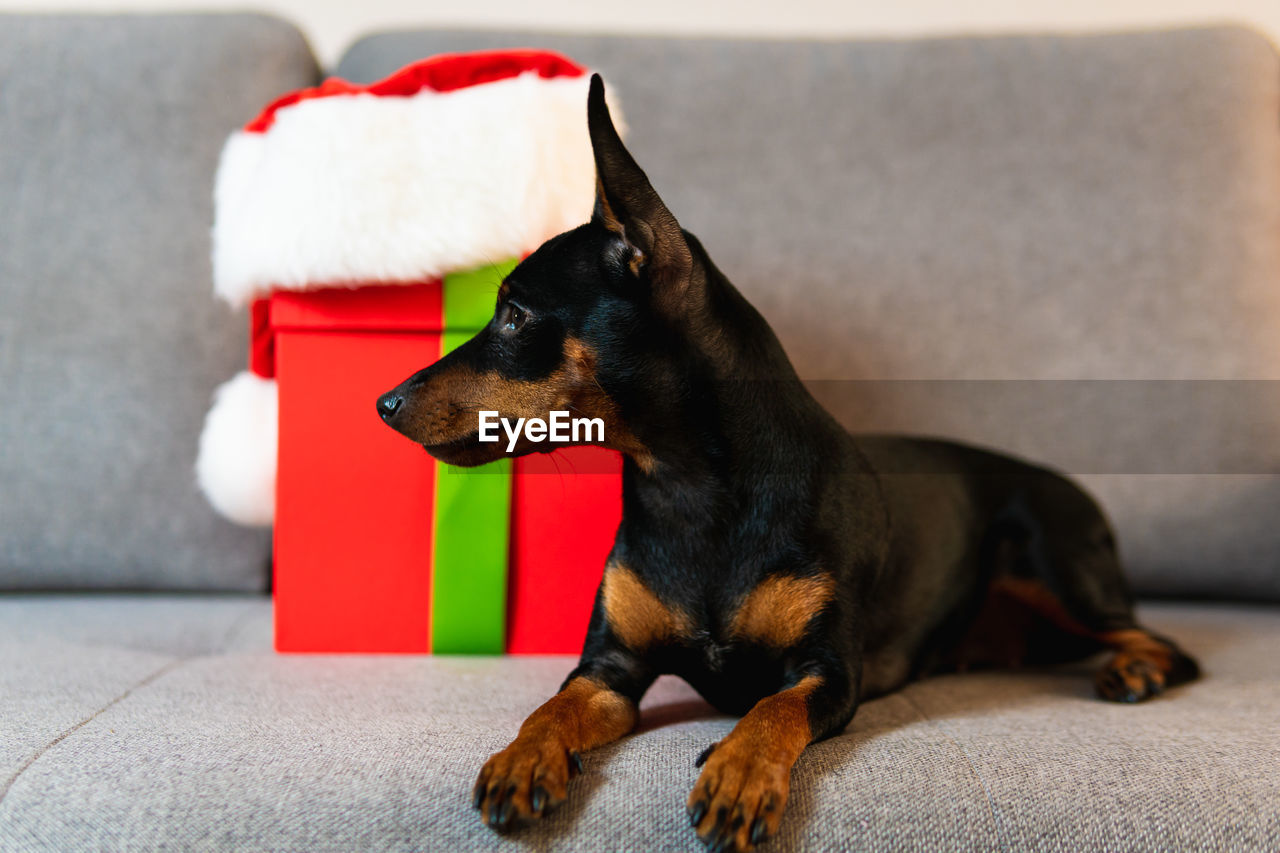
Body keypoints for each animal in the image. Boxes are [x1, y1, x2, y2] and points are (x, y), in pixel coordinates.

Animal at [376, 76, 1198, 845]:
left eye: (515, 317)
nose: (384, 402)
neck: (687, 489)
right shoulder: (608, 673)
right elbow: (549, 706)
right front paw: (522, 759)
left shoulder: (829, 673)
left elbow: (772, 708)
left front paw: (738, 774)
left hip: (1053, 563)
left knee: (1165, 643)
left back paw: (1135, 668)